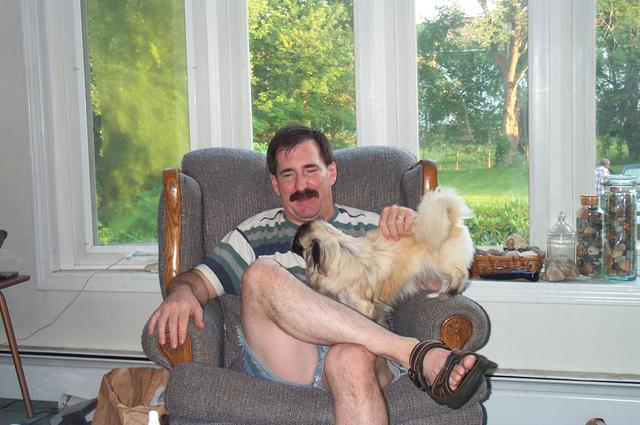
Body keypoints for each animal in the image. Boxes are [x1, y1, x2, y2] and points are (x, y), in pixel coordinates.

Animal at [291, 188, 475, 324]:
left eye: (297, 243)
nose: (291, 244)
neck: (342, 252)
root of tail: (451, 220)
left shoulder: (363, 306)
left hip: (443, 264)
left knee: (461, 274)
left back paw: (449, 293)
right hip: (436, 268)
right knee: (446, 279)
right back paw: (439, 294)